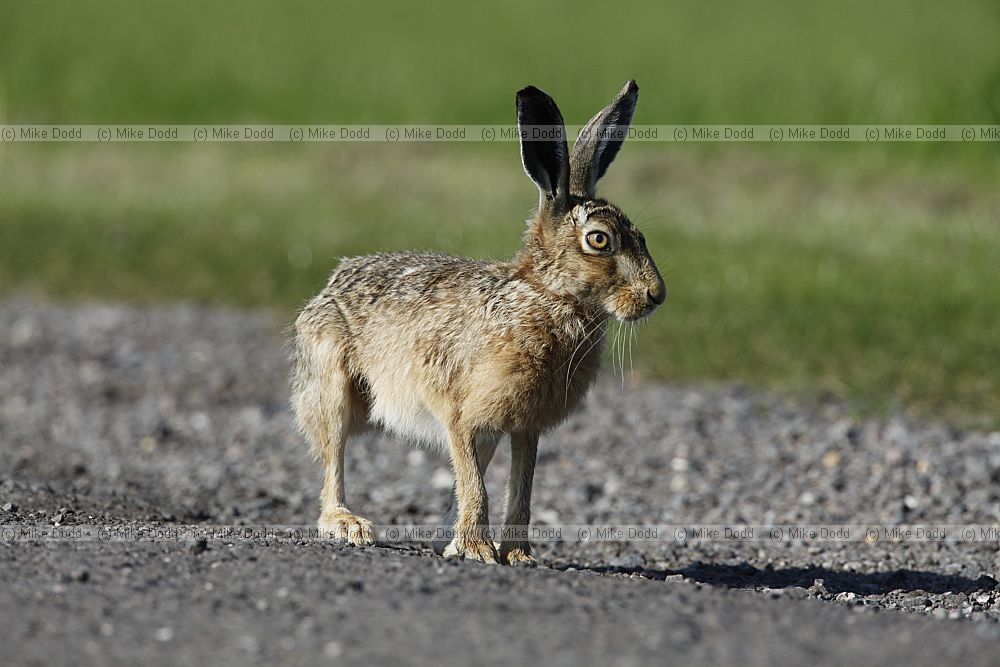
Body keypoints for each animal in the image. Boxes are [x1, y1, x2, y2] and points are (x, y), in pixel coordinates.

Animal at [291, 80, 665, 565]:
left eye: (640, 236)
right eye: (599, 240)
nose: (656, 295)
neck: (546, 295)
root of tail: (329, 286)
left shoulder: (524, 427)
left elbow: (520, 491)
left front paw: (518, 555)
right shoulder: (460, 415)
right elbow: (478, 486)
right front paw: (480, 551)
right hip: (330, 382)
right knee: (332, 458)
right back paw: (349, 524)